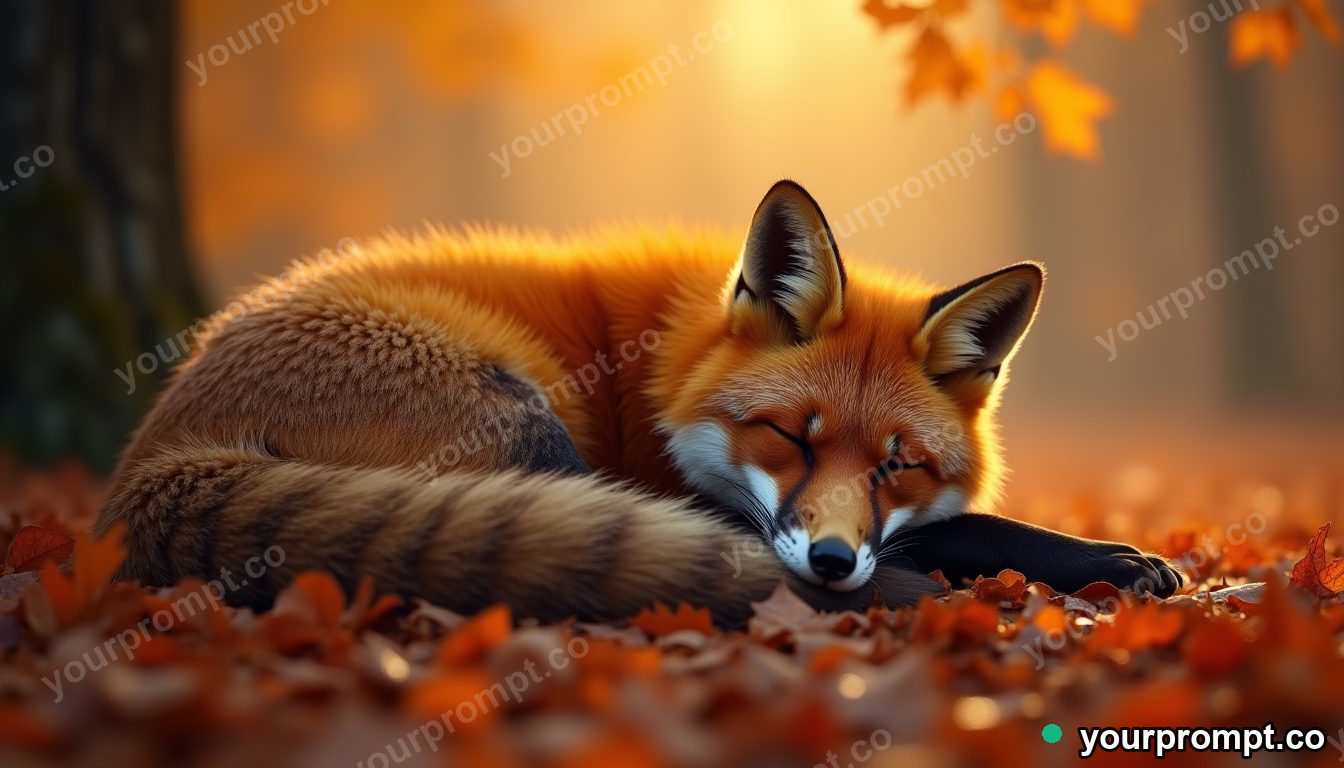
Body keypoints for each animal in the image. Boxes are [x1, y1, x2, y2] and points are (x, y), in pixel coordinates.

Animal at [95, 180, 1180, 625]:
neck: (660, 361)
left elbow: (957, 519)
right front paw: (1093, 562)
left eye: (896, 465)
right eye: (789, 437)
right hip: (525, 423)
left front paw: (1114, 559)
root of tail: (152, 452)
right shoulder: (678, 485)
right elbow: (958, 530)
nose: (834, 562)